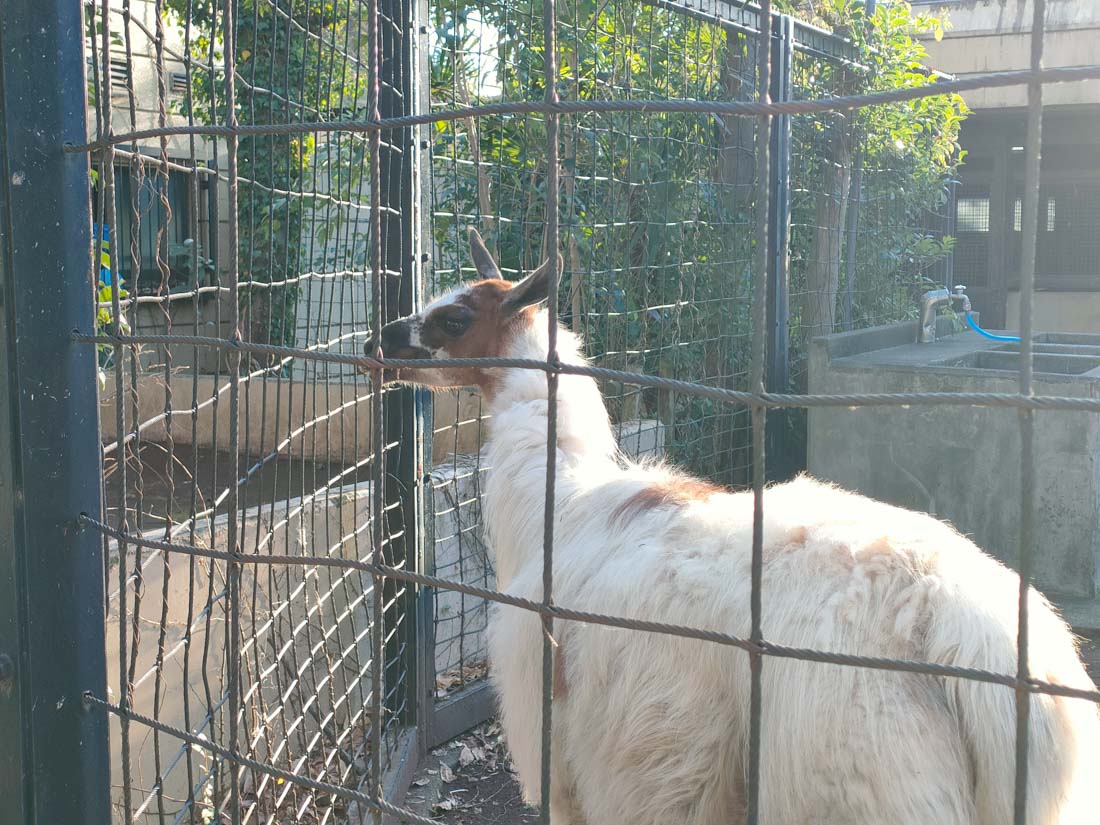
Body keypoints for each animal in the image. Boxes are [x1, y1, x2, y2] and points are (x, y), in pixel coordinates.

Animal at [368, 229, 1100, 825]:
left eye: (455, 317)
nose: (380, 340)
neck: (561, 503)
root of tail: (970, 632)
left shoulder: (557, 719)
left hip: (858, 773)